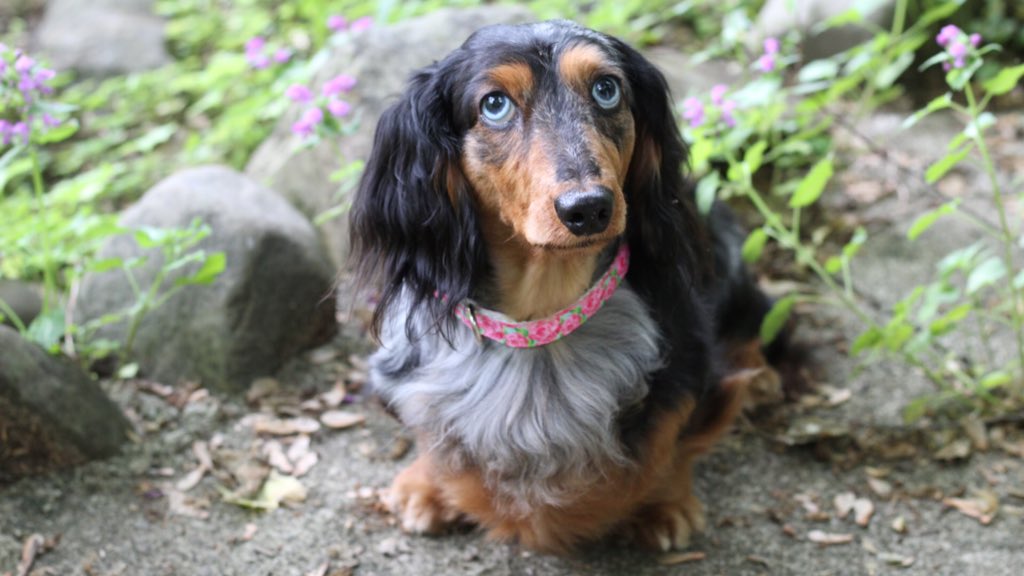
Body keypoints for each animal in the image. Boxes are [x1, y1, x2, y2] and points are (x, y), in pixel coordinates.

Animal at [349, 19, 790, 554]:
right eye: (494, 104)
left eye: (606, 89)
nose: (588, 208)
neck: (542, 324)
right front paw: (425, 483)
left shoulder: (688, 370)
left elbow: (674, 440)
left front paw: (665, 502)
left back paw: (762, 377)